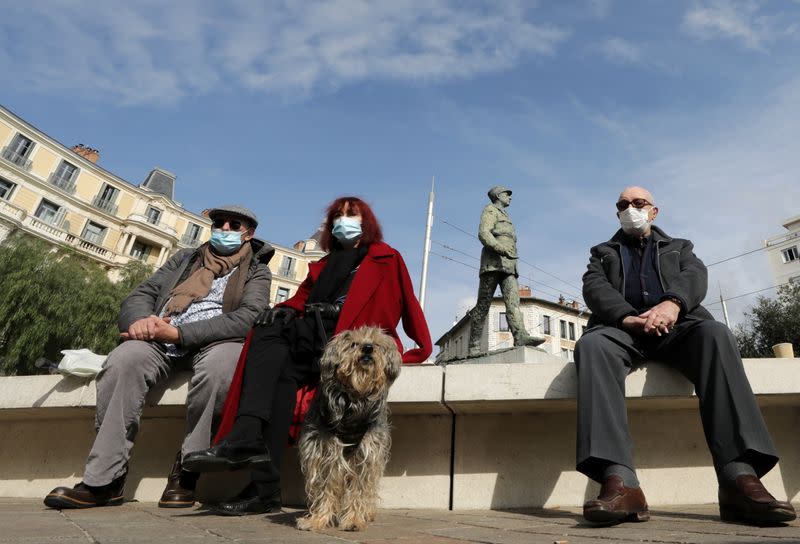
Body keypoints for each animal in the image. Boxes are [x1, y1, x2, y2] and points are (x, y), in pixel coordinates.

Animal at [296, 328, 404, 532]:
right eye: (353, 343)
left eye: (376, 343)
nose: (367, 348)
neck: (353, 401)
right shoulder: (325, 452)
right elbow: (325, 488)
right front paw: (318, 519)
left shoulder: (367, 454)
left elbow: (359, 490)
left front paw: (353, 520)